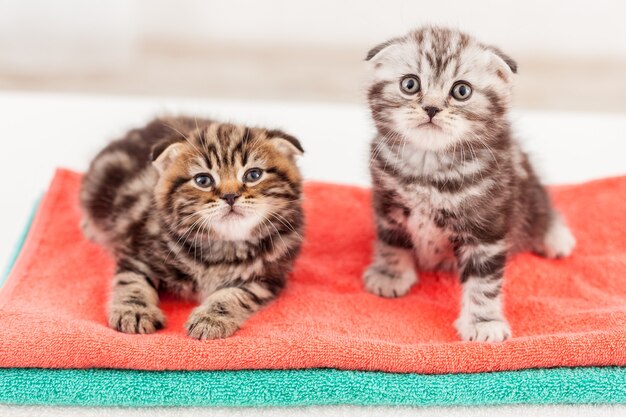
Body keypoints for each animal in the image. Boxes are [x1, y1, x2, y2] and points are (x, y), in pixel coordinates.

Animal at [79, 116, 304, 338]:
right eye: (203, 180)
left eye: (253, 175)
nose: (230, 196)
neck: (223, 246)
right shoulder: (138, 250)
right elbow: (132, 281)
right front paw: (134, 310)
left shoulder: (266, 278)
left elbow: (235, 295)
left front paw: (211, 319)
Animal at [364, 26, 572, 342]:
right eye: (410, 84)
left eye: (461, 91)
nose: (431, 108)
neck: (429, 169)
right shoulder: (388, 204)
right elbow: (392, 242)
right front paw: (390, 274)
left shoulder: (486, 226)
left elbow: (483, 281)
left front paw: (483, 323)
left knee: (542, 206)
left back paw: (556, 237)